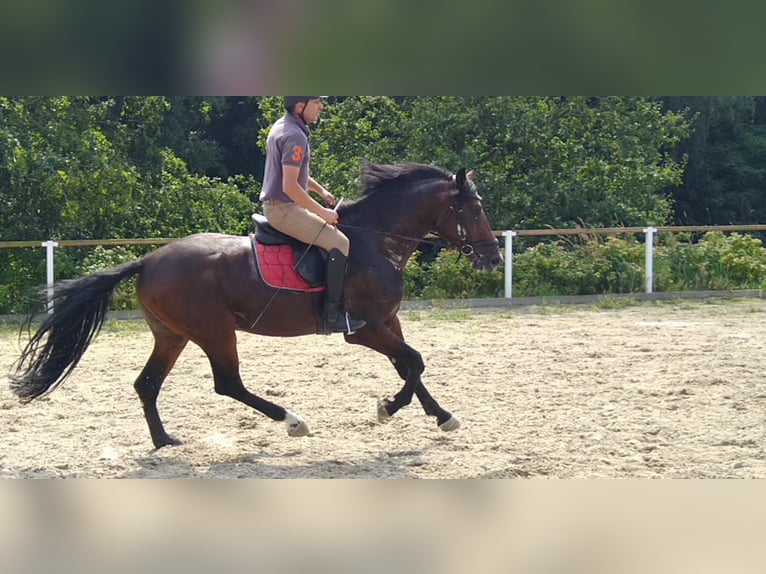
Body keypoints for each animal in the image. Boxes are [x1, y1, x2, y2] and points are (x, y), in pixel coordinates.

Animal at [12, 161, 508, 450]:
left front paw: (441, 416)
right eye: (473, 210)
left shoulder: (388, 320)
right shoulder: (362, 327)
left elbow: (410, 364)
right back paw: (292, 421)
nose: (493, 259)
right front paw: (389, 408)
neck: (375, 242)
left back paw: (165, 440)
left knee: (147, 384)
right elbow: (414, 361)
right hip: (214, 331)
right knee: (227, 383)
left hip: (172, 335)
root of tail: (149, 259)